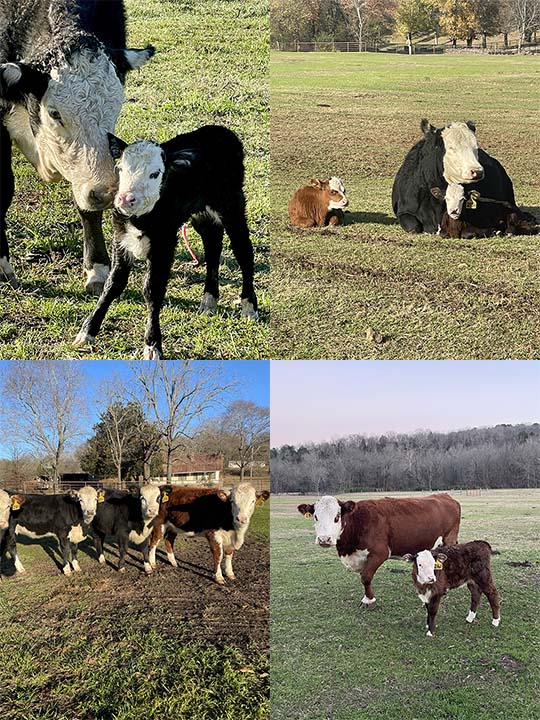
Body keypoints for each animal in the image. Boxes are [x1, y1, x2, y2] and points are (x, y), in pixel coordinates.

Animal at [73, 125, 258, 359]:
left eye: (155, 174)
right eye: (121, 169)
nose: (125, 199)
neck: (142, 218)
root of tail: (221, 130)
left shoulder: (165, 243)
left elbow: (152, 289)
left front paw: (152, 345)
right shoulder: (121, 240)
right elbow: (112, 285)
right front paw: (87, 332)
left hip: (232, 204)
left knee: (243, 251)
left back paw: (249, 306)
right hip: (202, 213)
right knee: (213, 244)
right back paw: (209, 301)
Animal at [298, 493, 461, 607]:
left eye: (337, 517)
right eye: (315, 517)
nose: (324, 539)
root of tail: (444, 495)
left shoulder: (379, 553)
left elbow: (365, 577)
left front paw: (369, 600)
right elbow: (364, 576)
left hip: (449, 539)